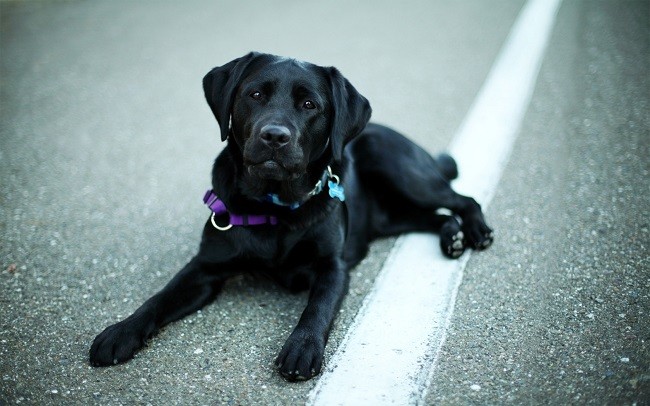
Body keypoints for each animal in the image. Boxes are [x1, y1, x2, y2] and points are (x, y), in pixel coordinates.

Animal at [87, 53, 492, 380]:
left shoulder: (333, 267)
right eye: (254, 95)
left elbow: (318, 307)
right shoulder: (204, 268)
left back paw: (475, 231)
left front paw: (302, 348)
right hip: (392, 215)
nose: (274, 136)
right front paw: (121, 332)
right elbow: (160, 297)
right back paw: (452, 237)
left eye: (310, 104)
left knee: (461, 198)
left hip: (397, 165)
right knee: (433, 216)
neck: (274, 207)